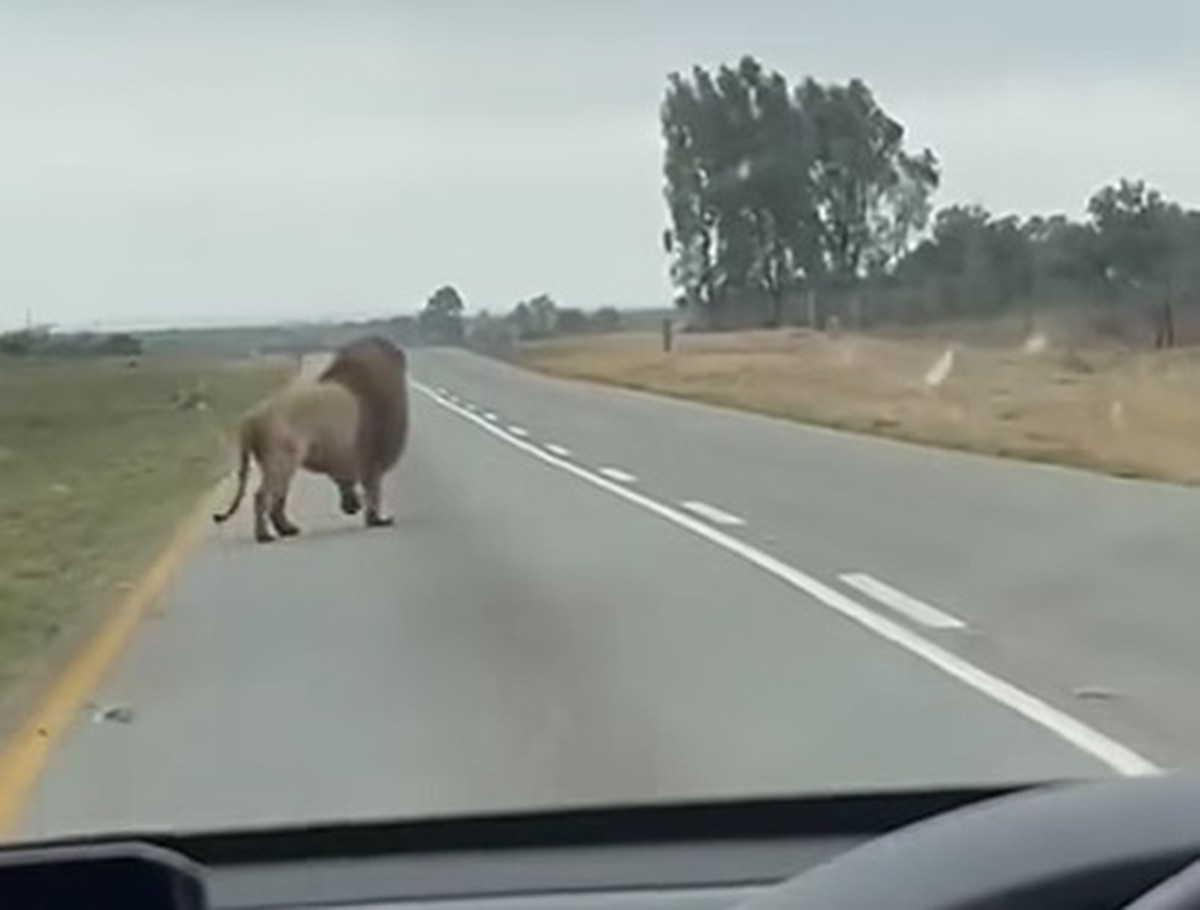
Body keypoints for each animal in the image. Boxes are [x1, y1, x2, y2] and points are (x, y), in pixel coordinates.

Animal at [212, 335, 409, 543]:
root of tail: (251, 418)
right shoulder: (373, 456)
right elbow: (374, 490)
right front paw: (377, 519)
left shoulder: (346, 456)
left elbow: (348, 481)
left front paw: (354, 505)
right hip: (280, 458)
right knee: (263, 496)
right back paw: (264, 535)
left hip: (282, 461)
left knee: (279, 497)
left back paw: (287, 529)